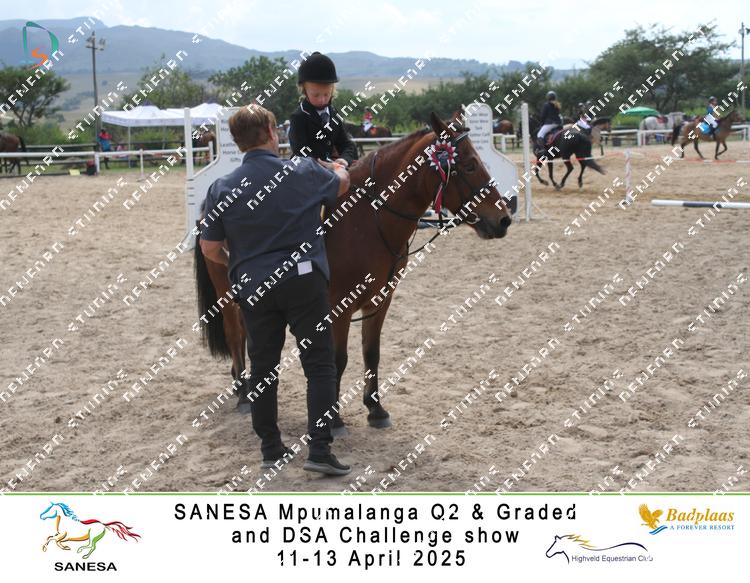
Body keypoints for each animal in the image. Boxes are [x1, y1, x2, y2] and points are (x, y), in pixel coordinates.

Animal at [193, 112, 514, 434]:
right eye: (469, 165)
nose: (504, 219)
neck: (368, 220)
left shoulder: (380, 300)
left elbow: (371, 352)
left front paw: (376, 408)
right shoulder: (339, 306)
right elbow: (339, 358)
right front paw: (332, 418)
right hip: (227, 294)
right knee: (235, 334)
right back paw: (242, 393)